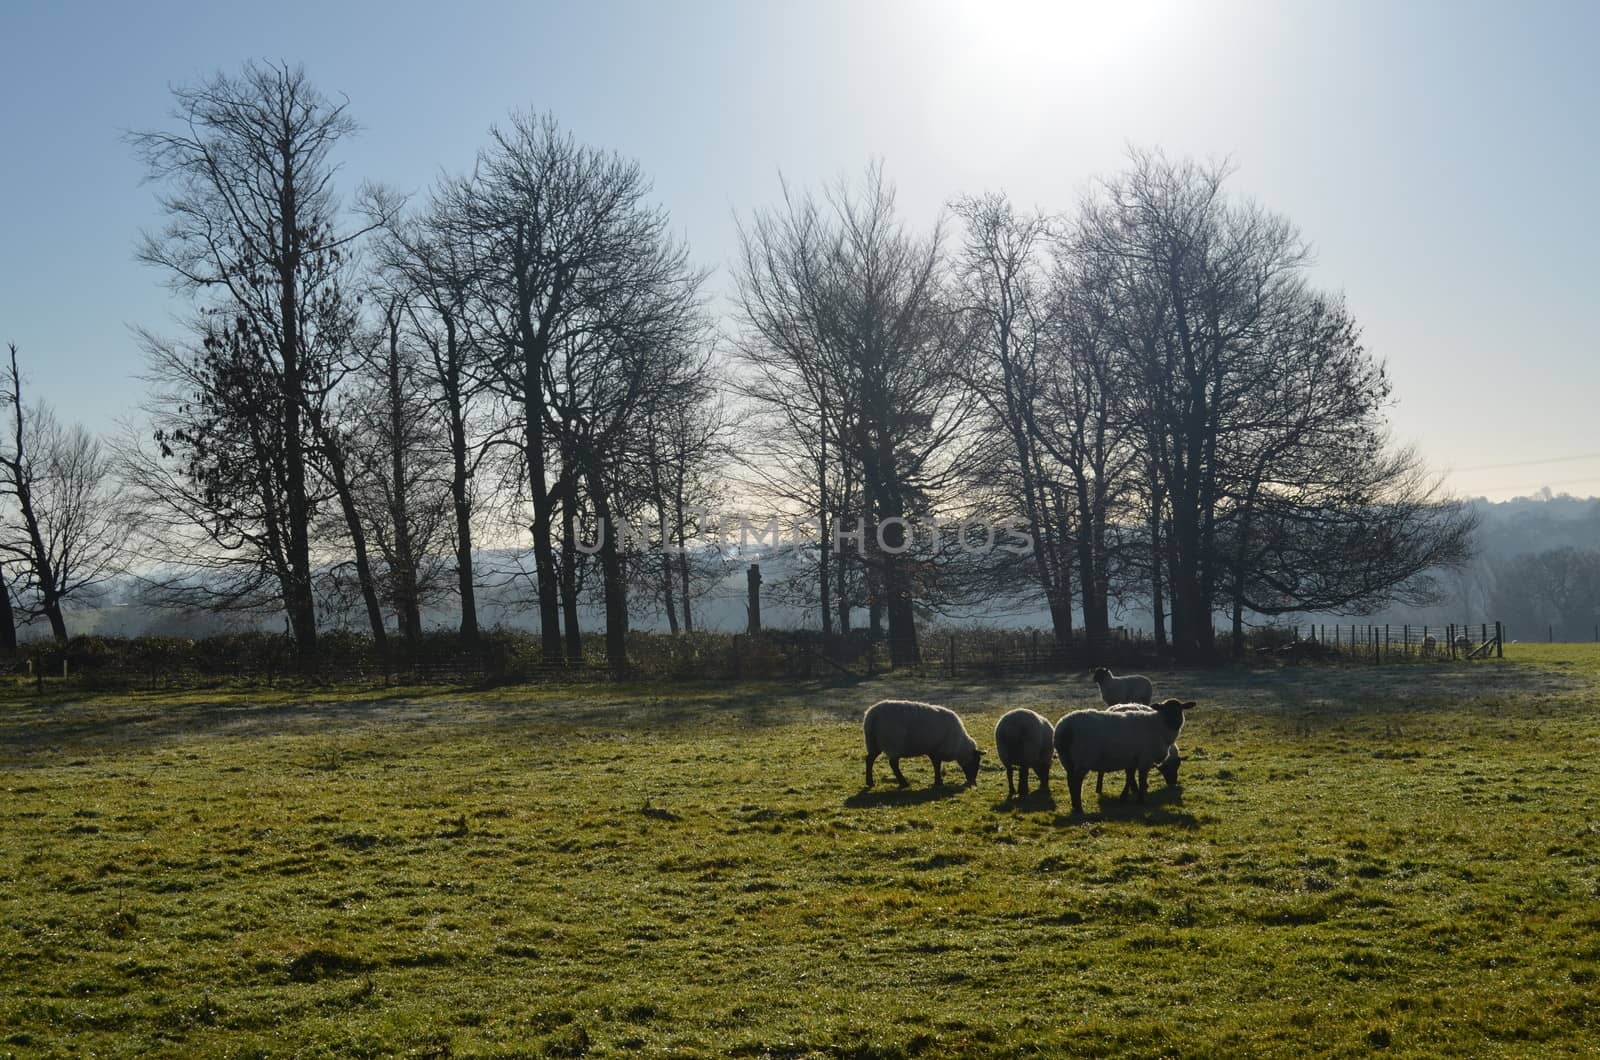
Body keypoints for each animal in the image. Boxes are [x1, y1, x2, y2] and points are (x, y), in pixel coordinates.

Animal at [1056, 701, 1196, 816]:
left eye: (1180, 709)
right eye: (1166, 710)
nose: (1173, 783)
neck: (1158, 724)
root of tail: (1065, 728)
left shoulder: (1132, 759)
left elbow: (1130, 777)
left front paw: (1125, 797)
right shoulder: (1145, 758)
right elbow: (1141, 778)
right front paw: (1140, 800)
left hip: (1067, 760)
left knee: (1070, 781)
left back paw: (1075, 806)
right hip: (1083, 758)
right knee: (1076, 782)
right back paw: (1079, 808)